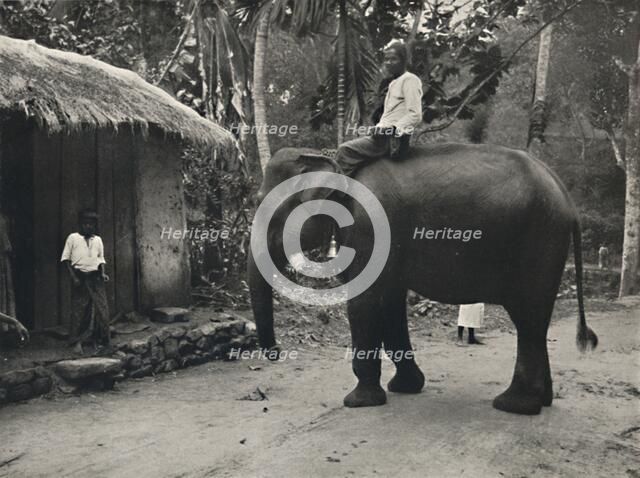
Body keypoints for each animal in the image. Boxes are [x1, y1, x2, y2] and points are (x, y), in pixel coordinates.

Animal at [248, 143, 598, 415]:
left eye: (268, 204)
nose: (276, 352)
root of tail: (567, 198)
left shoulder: (368, 229)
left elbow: (365, 302)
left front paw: (358, 402)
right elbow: (390, 303)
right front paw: (405, 387)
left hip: (537, 241)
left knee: (527, 318)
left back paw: (513, 405)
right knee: (536, 322)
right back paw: (543, 401)